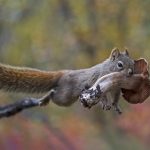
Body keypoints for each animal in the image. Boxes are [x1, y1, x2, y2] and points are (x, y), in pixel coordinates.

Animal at [0, 48, 134, 109]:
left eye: (133, 62)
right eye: (120, 64)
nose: (131, 72)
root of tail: (62, 73)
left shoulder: (116, 88)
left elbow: (116, 97)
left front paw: (115, 105)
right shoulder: (99, 80)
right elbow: (102, 95)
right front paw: (105, 103)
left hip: (67, 100)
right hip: (65, 97)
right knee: (53, 93)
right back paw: (46, 98)